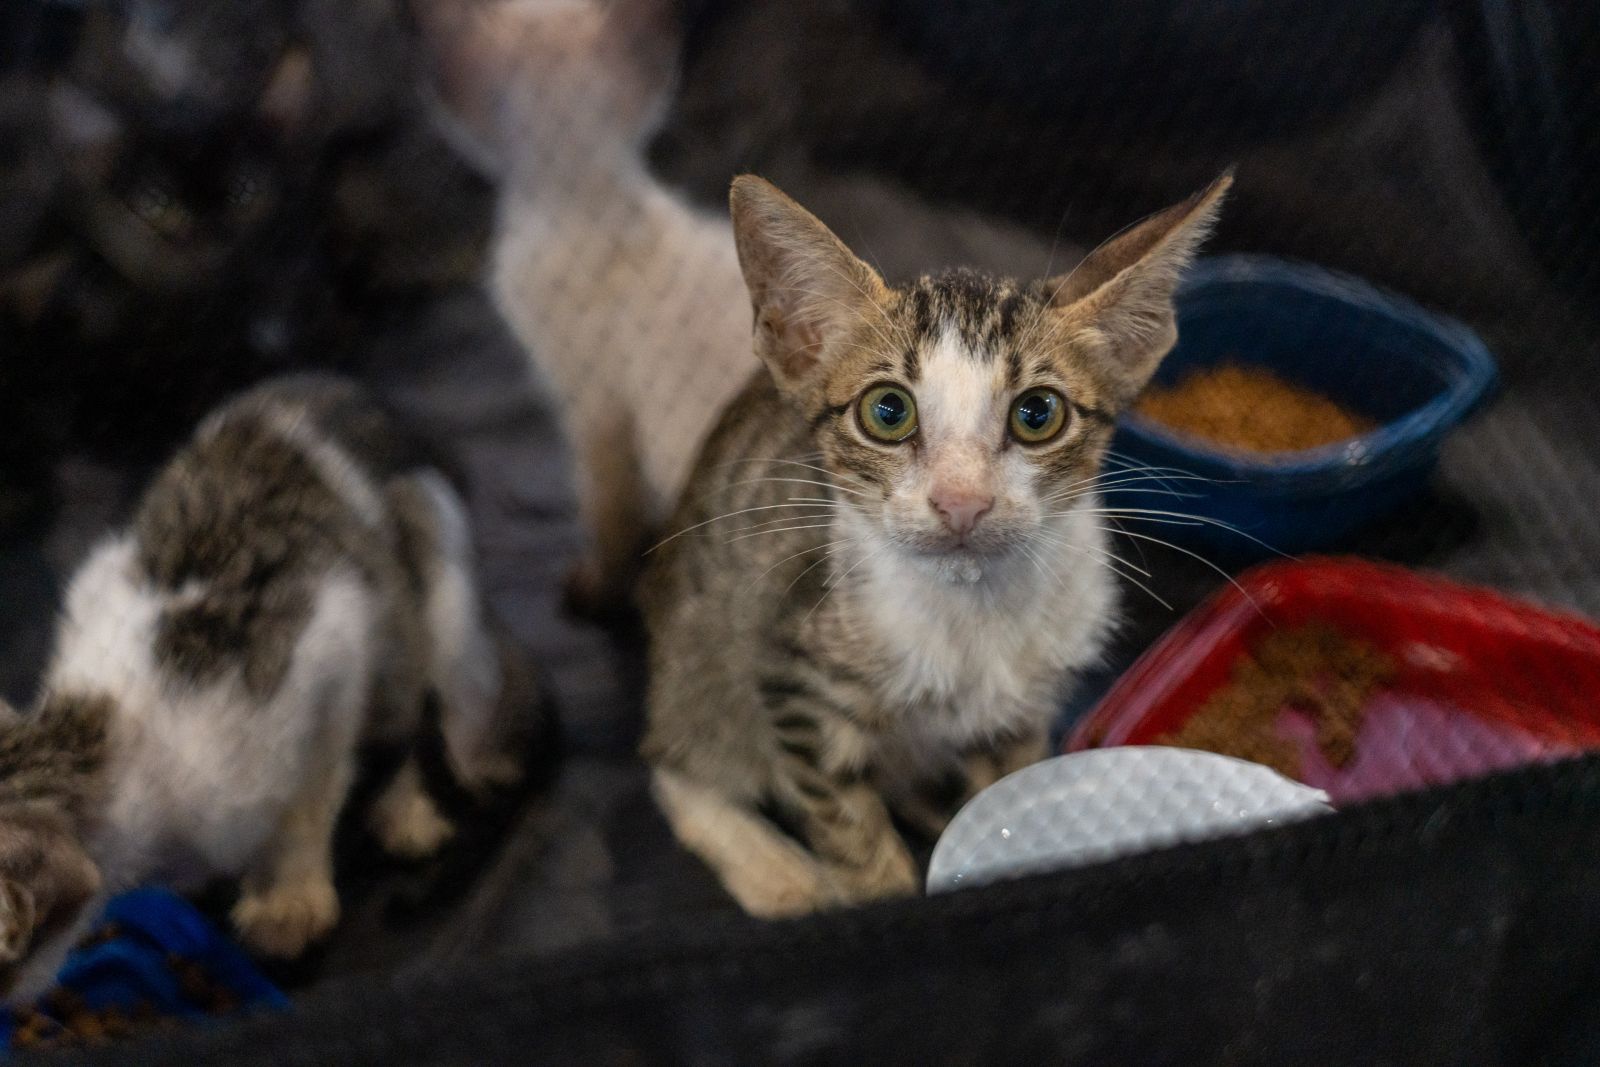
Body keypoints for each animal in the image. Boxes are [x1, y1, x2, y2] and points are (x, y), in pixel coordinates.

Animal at [0, 377, 537, 1004]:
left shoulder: (331, 642)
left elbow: (310, 794)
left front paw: (287, 902)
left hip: (437, 572)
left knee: (429, 702)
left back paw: (414, 805)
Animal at [636, 175, 1222, 921]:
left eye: (1038, 414)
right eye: (888, 412)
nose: (961, 500)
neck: (970, 613)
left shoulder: (1023, 708)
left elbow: (1009, 792)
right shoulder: (792, 668)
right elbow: (846, 827)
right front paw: (879, 892)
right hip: (706, 644)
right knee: (675, 757)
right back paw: (776, 870)